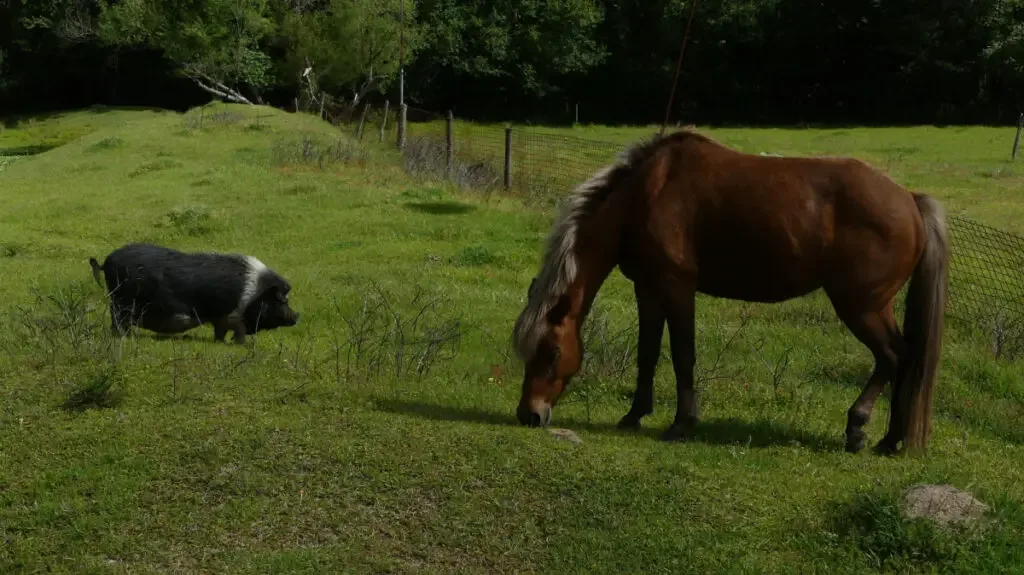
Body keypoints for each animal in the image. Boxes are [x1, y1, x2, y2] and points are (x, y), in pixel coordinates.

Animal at [89, 240, 299, 341]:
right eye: (282, 300)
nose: (297, 315)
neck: (253, 291)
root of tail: (106, 262)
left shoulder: (220, 319)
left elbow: (220, 333)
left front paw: (220, 342)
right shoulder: (231, 315)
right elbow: (237, 331)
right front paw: (240, 345)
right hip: (120, 302)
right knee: (118, 320)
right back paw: (124, 336)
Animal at [512, 128, 950, 452]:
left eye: (552, 352)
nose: (528, 415)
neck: (645, 195)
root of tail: (910, 200)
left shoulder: (676, 287)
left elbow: (683, 356)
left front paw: (683, 424)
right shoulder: (647, 289)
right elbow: (647, 354)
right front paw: (634, 415)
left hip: (861, 306)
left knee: (895, 357)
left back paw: (862, 430)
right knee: (904, 358)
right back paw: (890, 440)